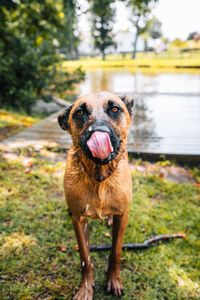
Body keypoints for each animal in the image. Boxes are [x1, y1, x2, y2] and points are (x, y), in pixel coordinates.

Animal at [57, 91, 133, 300]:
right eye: (80, 112)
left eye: (115, 109)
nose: (98, 133)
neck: (99, 178)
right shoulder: (79, 219)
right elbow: (85, 258)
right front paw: (85, 288)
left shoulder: (123, 215)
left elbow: (115, 251)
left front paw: (114, 280)